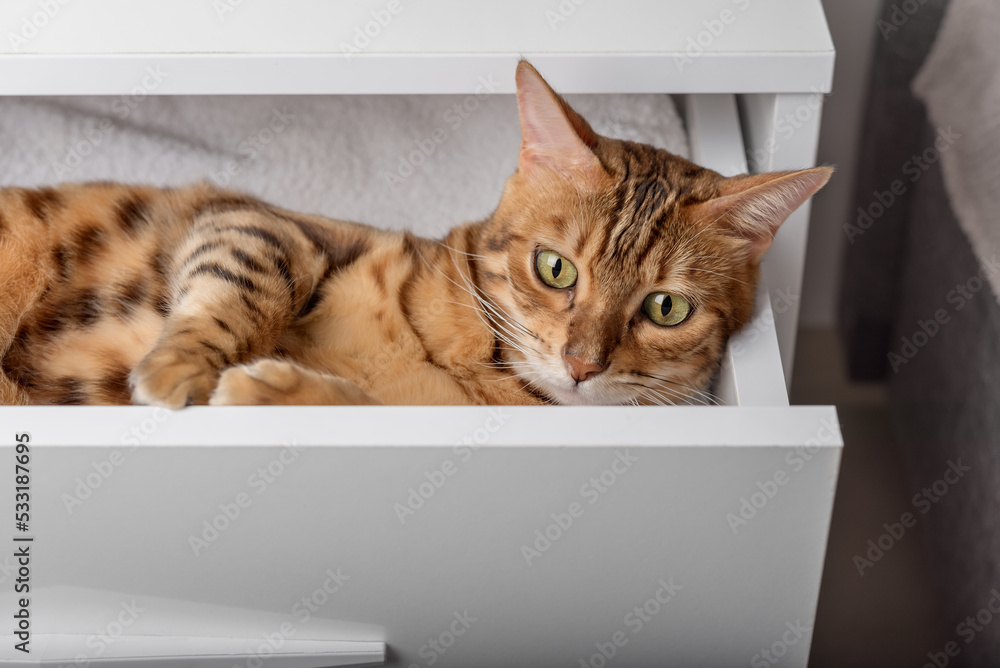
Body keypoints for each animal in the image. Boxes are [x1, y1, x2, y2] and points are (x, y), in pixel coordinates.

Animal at [0, 62, 828, 408]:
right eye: (555, 269)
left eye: (666, 309)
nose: (580, 365)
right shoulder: (266, 223)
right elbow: (247, 283)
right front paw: (180, 366)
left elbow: (367, 407)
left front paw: (278, 390)